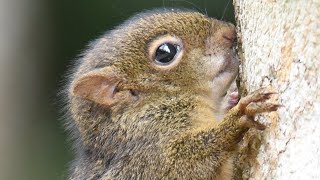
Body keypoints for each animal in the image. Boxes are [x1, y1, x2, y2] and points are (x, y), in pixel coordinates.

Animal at [64, 9, 278, 179]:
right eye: (165, 53)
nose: (229, 32)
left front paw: (232, 101)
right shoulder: (148, 156)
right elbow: (183, 164)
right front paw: (237, 118)